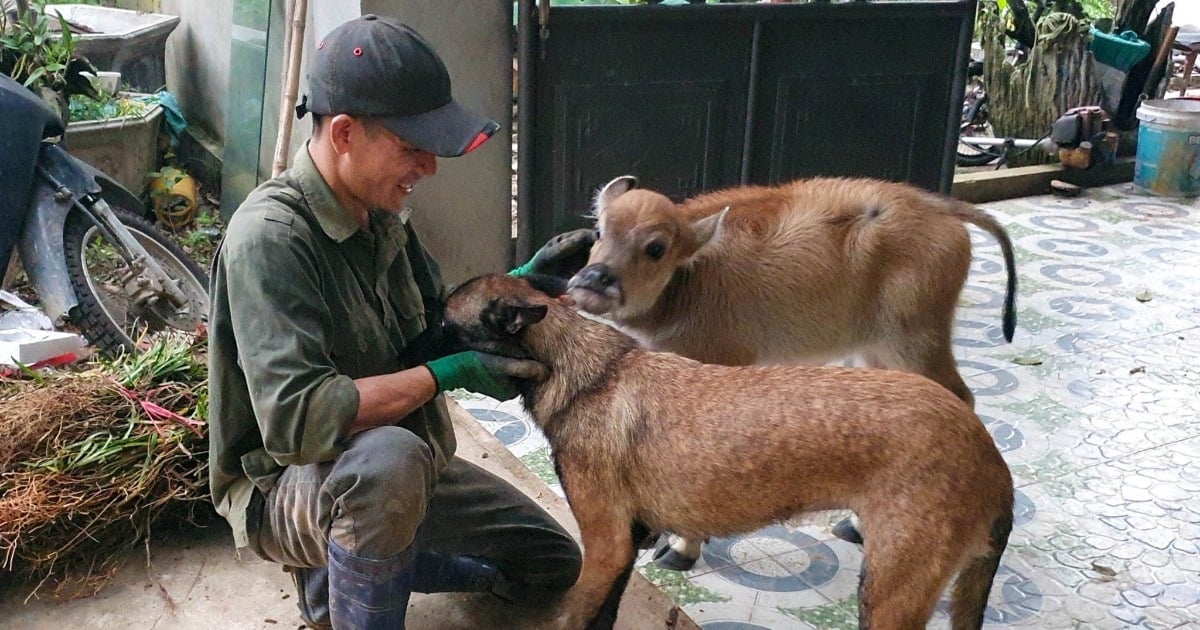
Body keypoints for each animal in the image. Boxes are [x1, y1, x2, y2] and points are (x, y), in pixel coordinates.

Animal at [441, 272, 1012, 628]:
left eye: (445, 325)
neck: (582, 369)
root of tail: (988, 452)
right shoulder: (626, 547)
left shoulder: (605, 547)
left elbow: (577, 614)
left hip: (888, 594)